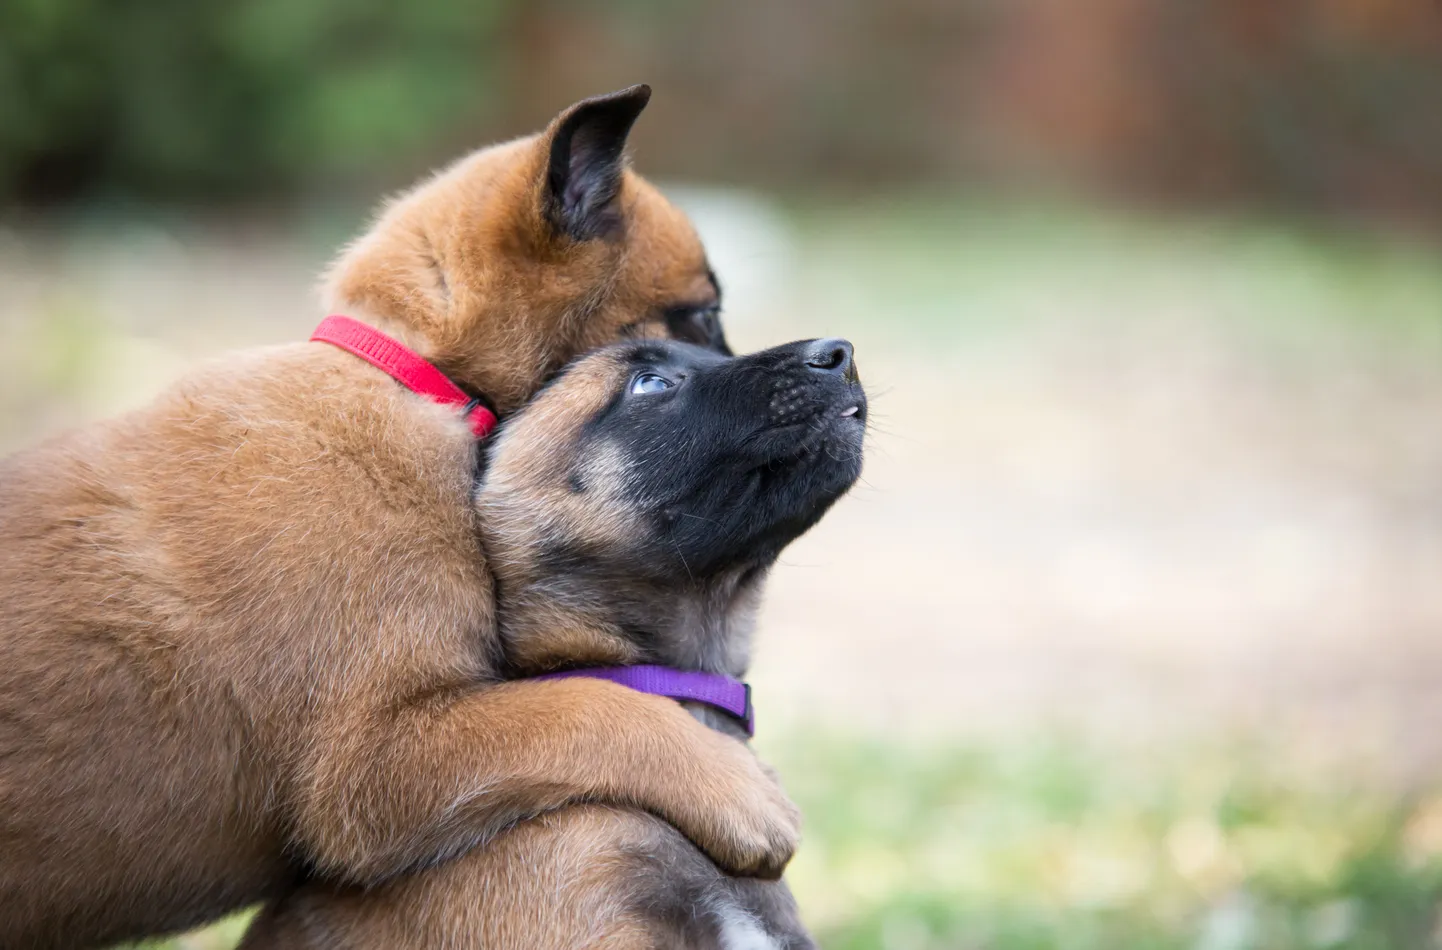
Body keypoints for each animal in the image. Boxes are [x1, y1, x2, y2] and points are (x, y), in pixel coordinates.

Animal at [0, 89, 801, 950]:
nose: (829, 362)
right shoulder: (375, 766)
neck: (415, 378)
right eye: (702, 319)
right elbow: (585, 706)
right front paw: (738, 789)